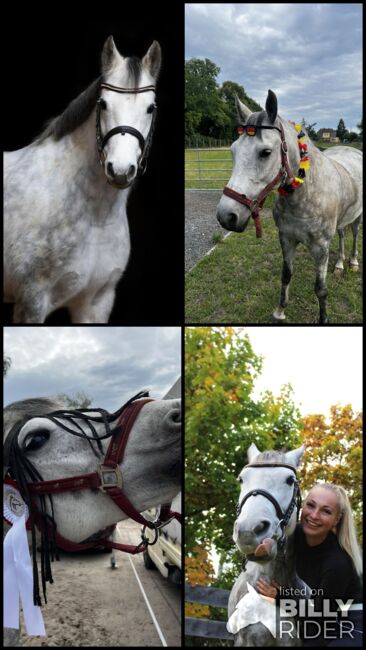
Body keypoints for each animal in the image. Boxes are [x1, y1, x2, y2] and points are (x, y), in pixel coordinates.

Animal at [2, 36, 160, 322]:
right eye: (103, 104)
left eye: (150, 108)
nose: (120, 169)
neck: (95, 217)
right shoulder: (31, 303)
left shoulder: (96, 302)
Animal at [217, 90, 364, 322]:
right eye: (233, 151)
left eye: (266, 152)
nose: (226, 216)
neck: (304, 196)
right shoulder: (286, 238)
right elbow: (286, 275)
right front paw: (280, 311)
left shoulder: (321, 248)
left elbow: (321, 290)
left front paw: (323, 319)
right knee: (342, 234)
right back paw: (340, 265)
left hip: (357, 217)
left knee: (355, 234)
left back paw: (353, 262)